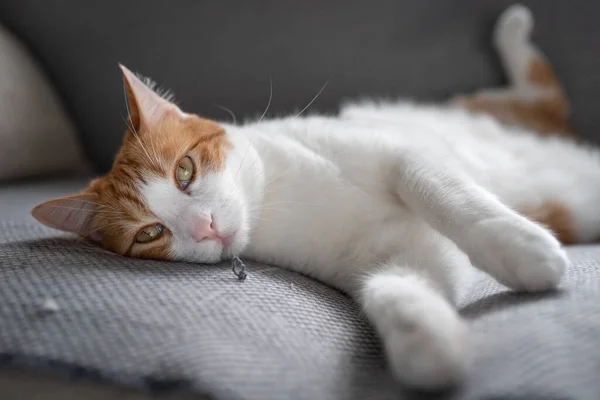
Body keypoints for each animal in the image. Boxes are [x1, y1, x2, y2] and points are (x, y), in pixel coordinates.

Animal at [29, 5, 600, 390]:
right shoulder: (397, 257)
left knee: (541, 88)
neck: (281, 203)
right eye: (151, 232)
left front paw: (519, 248)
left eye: (184, 171)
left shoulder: (399, 153)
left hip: (496, 109)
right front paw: (431, 350)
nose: (205, 226)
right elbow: (395, 291)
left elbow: (440, 191)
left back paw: (512, 29)